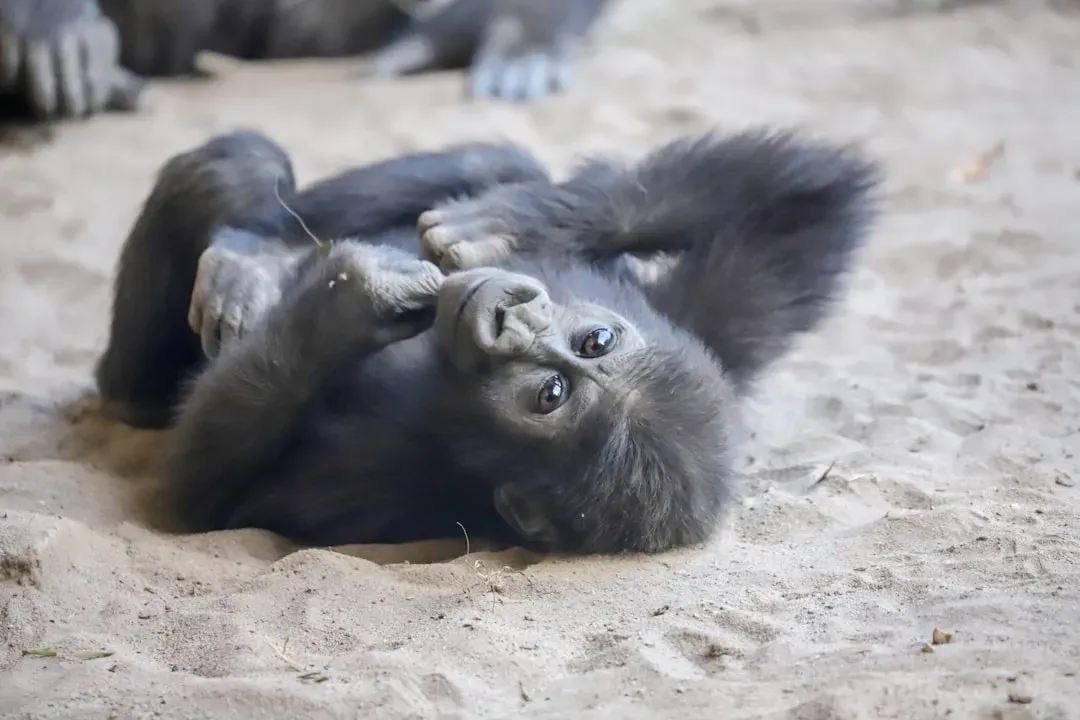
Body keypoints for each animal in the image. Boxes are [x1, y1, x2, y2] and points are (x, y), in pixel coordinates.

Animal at [94, 126, 880, 555]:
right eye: (595, 340)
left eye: (549, 395)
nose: (512, 323)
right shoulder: (694, 323)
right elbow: (815, 200)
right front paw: (512, 219)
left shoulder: (376, 478)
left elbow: (206, 496)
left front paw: (352, 300)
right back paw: (255, 246)